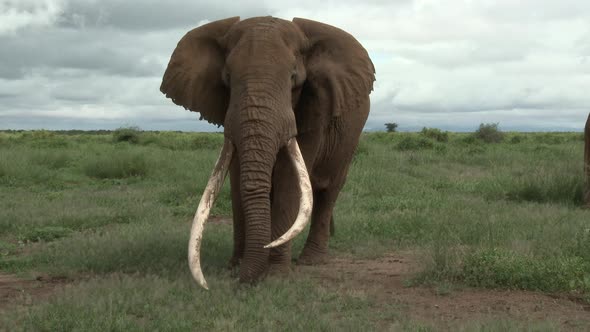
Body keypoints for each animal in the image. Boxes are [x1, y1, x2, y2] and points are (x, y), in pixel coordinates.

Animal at [161, 15, 374, 288]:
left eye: (293, 78)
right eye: (227, 78)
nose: (240, 282)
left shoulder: (313, 110)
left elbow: (288, 180)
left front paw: (275, 275)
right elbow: (237, 177)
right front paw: (236, 267)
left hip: (350, 138)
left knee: (328, 191)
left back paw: (311, 261)